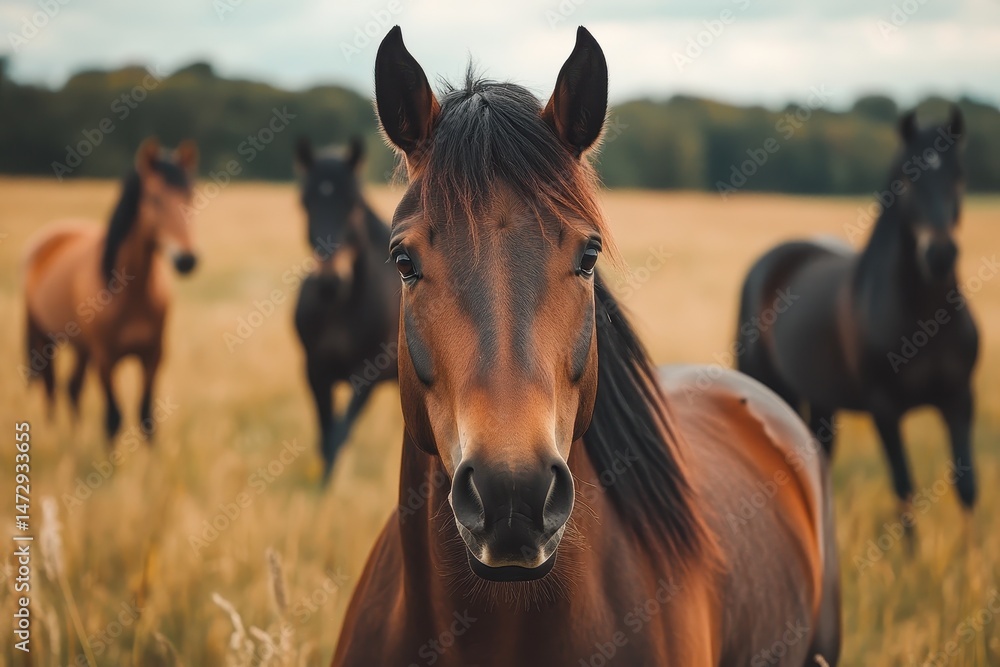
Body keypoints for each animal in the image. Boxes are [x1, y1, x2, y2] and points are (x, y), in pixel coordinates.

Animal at [22, 137, 199, 440]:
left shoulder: (153, 357)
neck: (131, 294)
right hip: (43, 338)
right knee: (50, 388)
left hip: (81, 348)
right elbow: (113, 419)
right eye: (155, 199)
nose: (186, 260)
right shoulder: (105, 360)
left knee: (72, 388)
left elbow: (147, 418)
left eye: (190, 196)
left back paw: (75, 438)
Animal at [292, 138, 399, 480]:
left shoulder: (367, 377)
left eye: (352, 203)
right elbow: (325, 438)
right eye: (304, 202)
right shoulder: (315, 371)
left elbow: (339, 437)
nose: (330, 282)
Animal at [736, 108, 976, 523]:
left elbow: (967, 489)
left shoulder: (959, 401)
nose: (940, 255)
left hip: (821, 402)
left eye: (959, 177)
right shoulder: (885, 411)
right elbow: (904, 490)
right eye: (907, 179)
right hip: (776, 389)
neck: (924, 318)